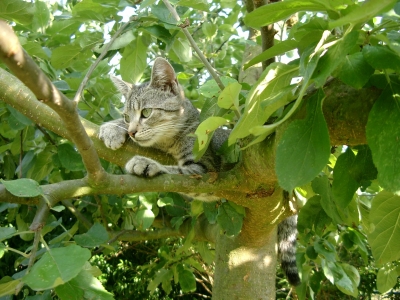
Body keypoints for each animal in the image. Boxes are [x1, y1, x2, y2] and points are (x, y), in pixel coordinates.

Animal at [97, 56, 300, 286]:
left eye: (146, 113)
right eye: (125, 116)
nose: (131, 131)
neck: (167, 143)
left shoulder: (204, 171)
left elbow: (176, 172)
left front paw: (146, 162)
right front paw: (111, 129)